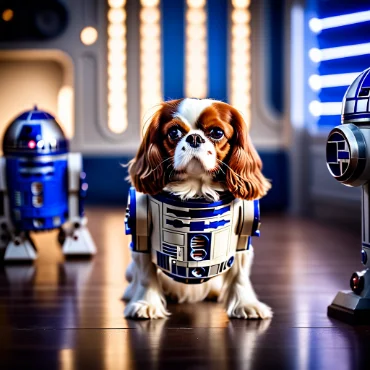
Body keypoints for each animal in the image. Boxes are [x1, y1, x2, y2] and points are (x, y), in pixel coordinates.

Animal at [123, 99, 272, 320]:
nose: (194, 137)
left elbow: (240, 274)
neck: (196, 190)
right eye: (174, 132)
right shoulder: (141, 229)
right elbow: (146, 273)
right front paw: (146, 304)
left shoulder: (243, 233)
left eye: (217, 132)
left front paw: (246, 305)